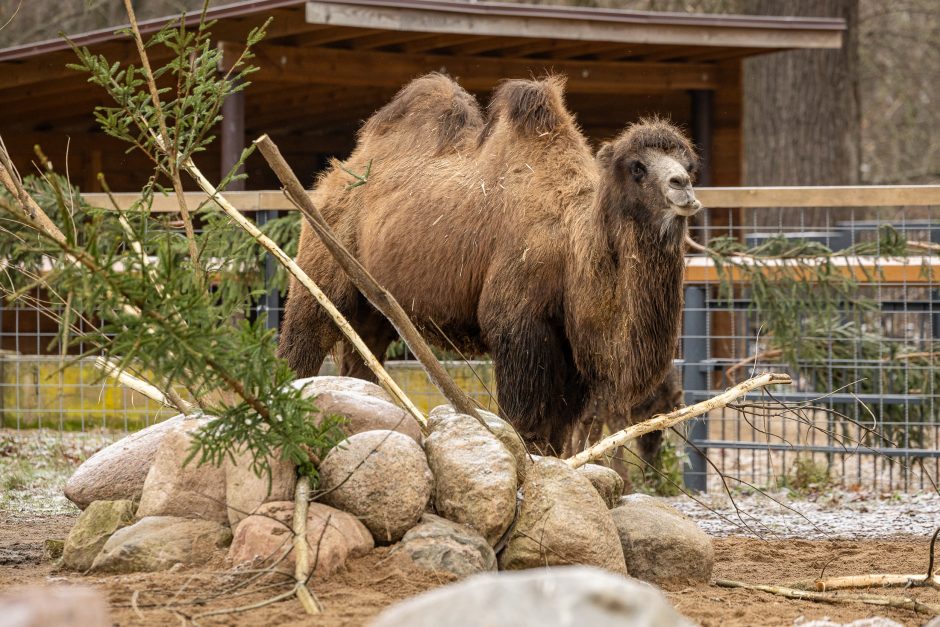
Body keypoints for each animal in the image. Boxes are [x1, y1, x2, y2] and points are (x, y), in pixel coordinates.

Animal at [282, 73, 700, 454]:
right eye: (637, 167)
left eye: (689, 165)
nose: (682, 185)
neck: (572, 247)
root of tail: (332, 178)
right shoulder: (517, 326)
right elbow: (527, 426)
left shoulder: (571, 353)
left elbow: (557, 435)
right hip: (322, 261)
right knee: (302, 343)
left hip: (374, 306)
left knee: (364, 362)